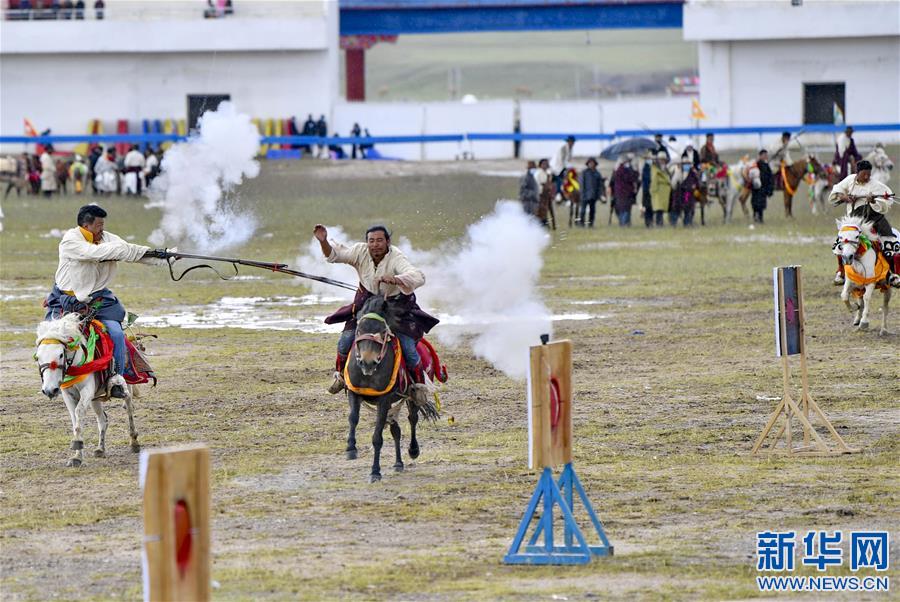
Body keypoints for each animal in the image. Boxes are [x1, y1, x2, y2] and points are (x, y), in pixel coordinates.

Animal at [36, 312, 141, 466]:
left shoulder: (86, 390)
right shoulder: (68, 394)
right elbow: (75, 419)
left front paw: (77, 444)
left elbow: (79, 413)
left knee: (129, 408)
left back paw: (134, 442)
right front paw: (77, 456)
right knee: (103, 419)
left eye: (60, 354)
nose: (49, 390)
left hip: (125, 387)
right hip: (94, 399)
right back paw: (100, 449)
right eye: (37, 357)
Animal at [342, 292, 444, 480]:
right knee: (395, 429)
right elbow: (353, 418)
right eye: (359, 329)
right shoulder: (354, 392)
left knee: (412, 419)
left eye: (383, 331)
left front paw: (375, 472)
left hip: (410, 397)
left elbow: (377, 437)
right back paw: (398, 463)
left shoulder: (384, 400)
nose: (367, 363)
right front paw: (351, 448)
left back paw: (413, 450)